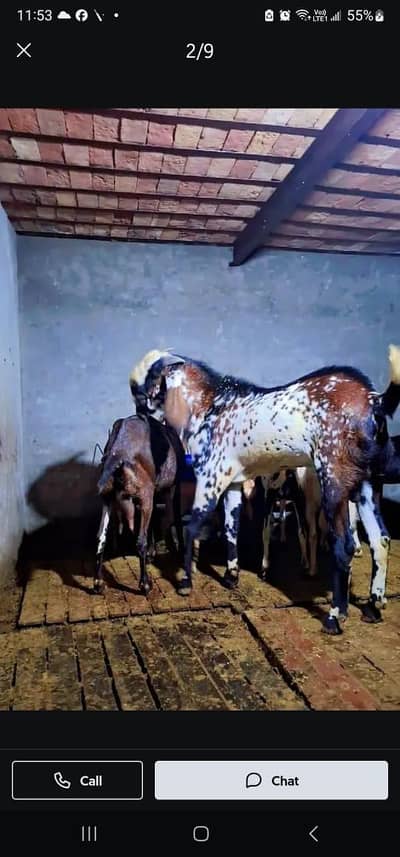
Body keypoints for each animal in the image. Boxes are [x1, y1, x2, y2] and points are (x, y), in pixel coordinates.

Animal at [94, 414, 185, 594]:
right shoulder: (162, 490)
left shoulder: (149, 495)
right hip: (148, 495)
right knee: (141, 536)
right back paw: (146, 579)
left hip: (112, 499)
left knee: (101, 537)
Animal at [130, 346, 400, 635]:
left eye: (146, 385)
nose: (139, 413)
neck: (209, 405)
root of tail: (374, 400)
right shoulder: (234, 482)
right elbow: (231, 529)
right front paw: (231, 576)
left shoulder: (211, 478)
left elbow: (191, 527)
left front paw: (185, 582)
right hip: (365, 483)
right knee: (380, 540)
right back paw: (373, 607)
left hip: (334, 479)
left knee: (345, 545)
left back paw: (334, 617)